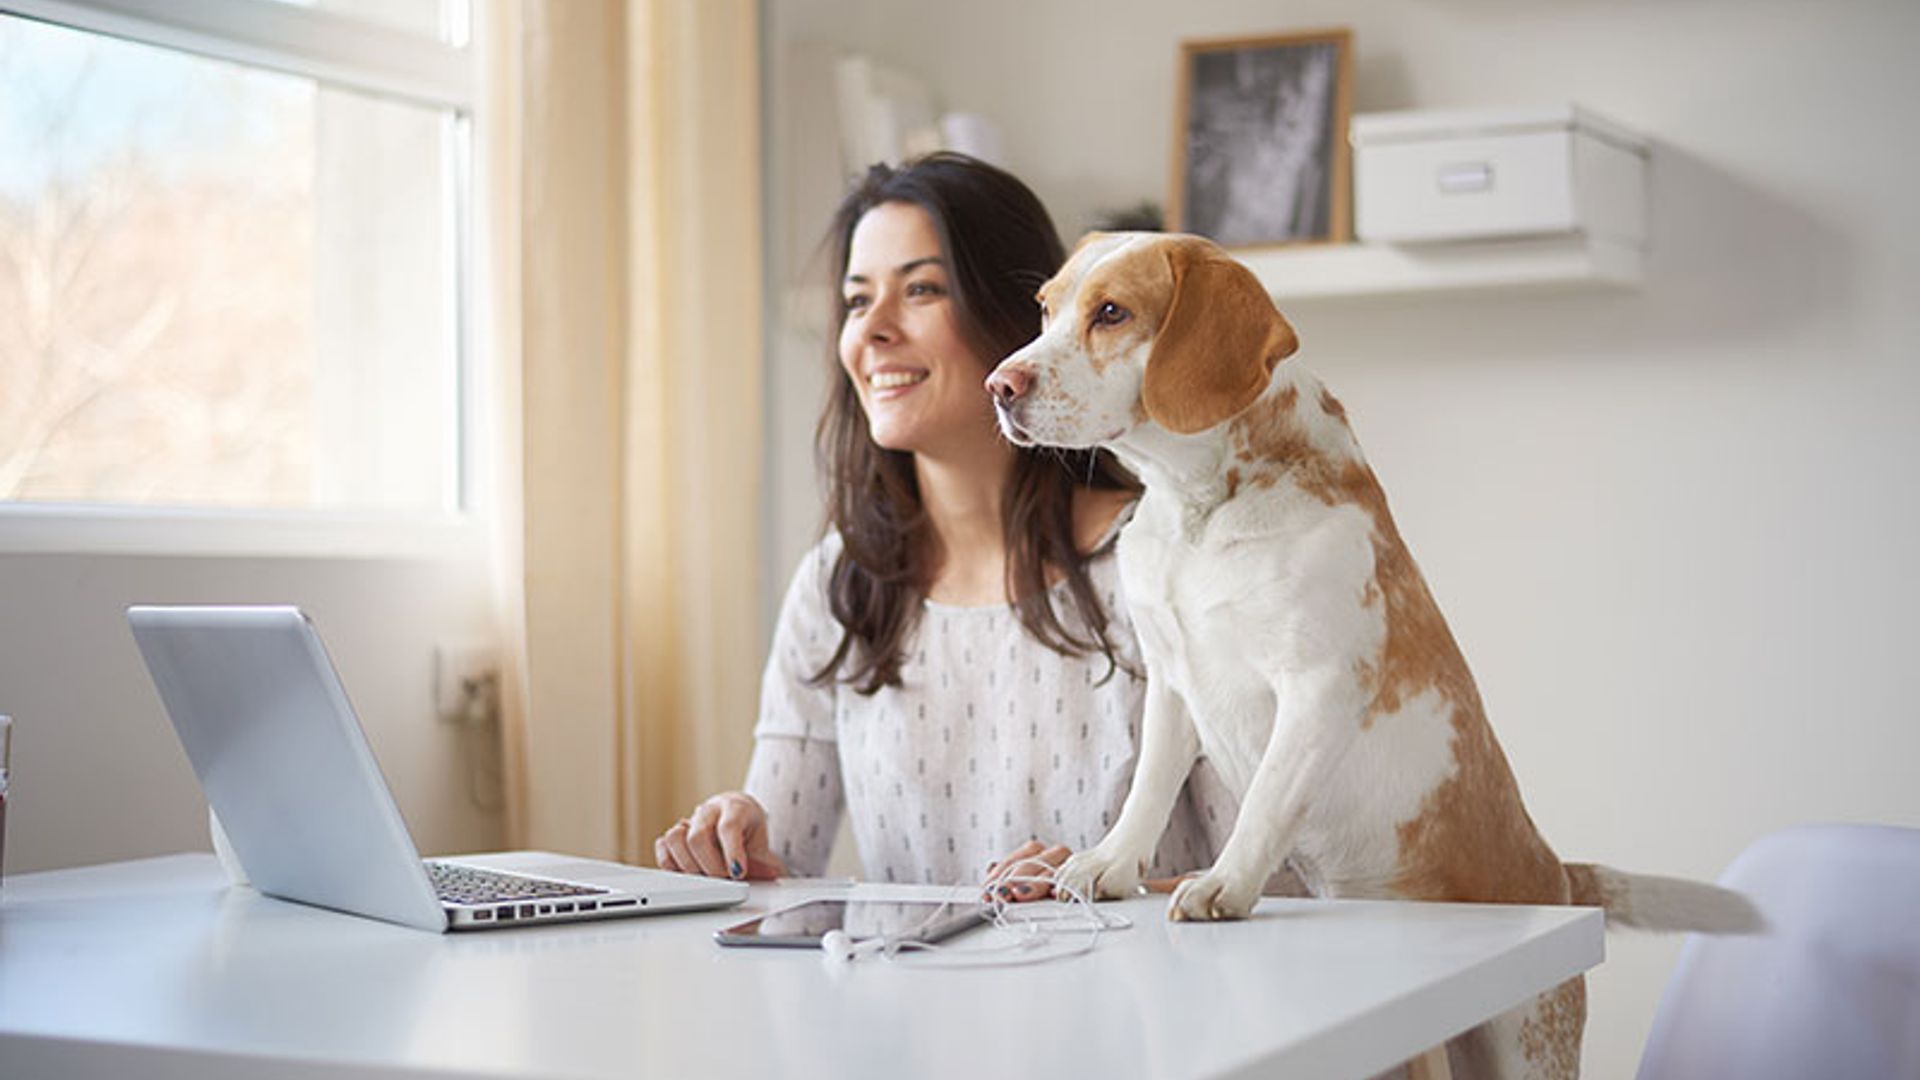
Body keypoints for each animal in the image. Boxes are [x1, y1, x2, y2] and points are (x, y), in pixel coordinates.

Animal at [990, 231, 1758, 1068]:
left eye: (1112, 313)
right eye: (1045, 308)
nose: (999, 385)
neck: (1200, 512)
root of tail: (1557, 877)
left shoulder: (1317, 684)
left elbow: (1264, 800)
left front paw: (1226, 884)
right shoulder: (1172, 680)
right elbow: (1148, 791)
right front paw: (1110, 864)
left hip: (1524, 1049)